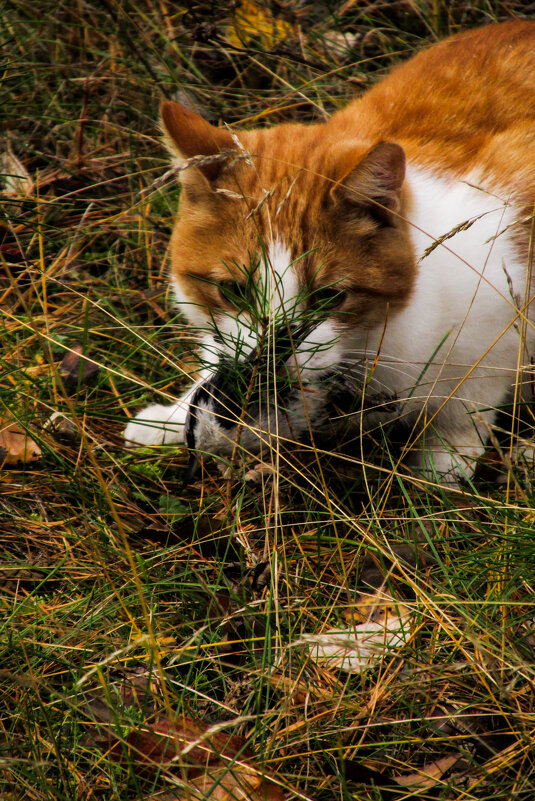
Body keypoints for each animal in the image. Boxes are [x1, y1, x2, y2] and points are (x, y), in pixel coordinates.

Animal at [124, 20, 535, 482]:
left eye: (328, 297)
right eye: (233, 290)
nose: (267, 364)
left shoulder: (504, 315)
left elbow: (464, 410)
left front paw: (439, 468)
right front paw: (173, 417)